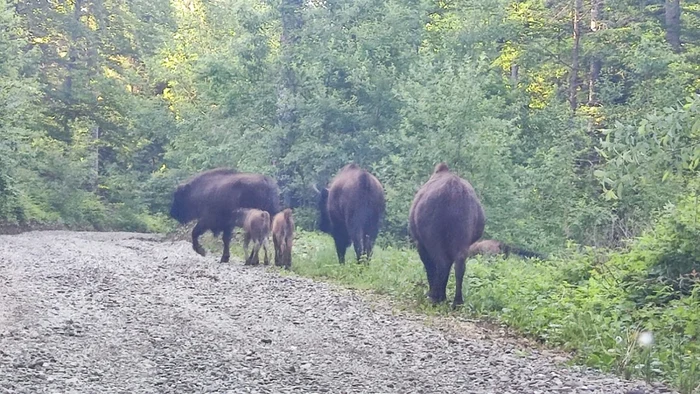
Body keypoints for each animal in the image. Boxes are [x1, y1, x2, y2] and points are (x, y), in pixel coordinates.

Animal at [408, 162, 484, 308]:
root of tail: (454, 192)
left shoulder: (420, 243)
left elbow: (430, 267)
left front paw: (433, 293)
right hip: (463, 234)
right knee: (459, 264)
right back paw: (457, 301)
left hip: (433, 236)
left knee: (441, 263)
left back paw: (436, 297)